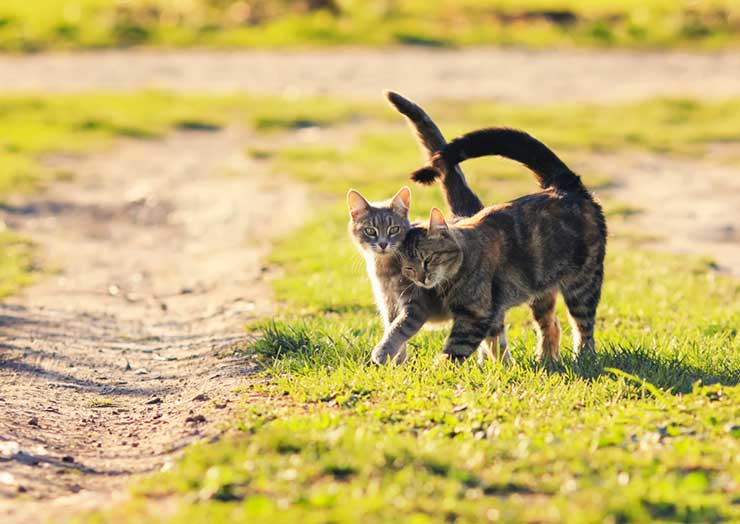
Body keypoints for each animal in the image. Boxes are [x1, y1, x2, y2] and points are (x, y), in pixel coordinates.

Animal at [346, 92, 508, 364]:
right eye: (370, 231)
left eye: (393, 230)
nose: (382, 243)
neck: (385, 272)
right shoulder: (388, 305)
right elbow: (393, 331)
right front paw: (397, 364)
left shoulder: (415, 306)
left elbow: (398, 330)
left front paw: (383, 353)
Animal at [396, 128, 604, 362]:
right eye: (409, 268)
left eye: (428, 259)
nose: (421, 278)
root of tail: (566, 186)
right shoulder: (491, 313)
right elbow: (496, 342)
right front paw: (503, 365)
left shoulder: (475, 315)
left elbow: (455, 349)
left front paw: (439, 368)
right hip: (541, 290)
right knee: (551, 324)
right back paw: (546, 359)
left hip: (583, 284)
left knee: (583, 326)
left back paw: (583, 356)